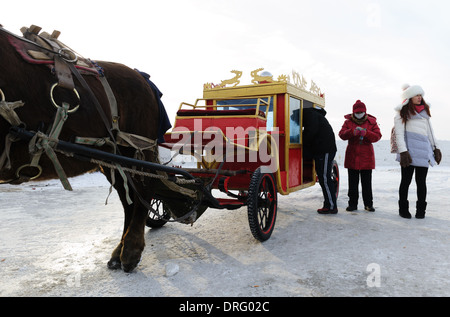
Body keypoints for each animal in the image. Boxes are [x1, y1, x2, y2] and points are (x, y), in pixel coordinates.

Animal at [0, 25, 171, 270]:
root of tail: (142, 77)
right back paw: (119, 251)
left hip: (138, 147)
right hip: (112, 157)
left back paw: (131, 249)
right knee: (128, 198)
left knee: (143, 191)